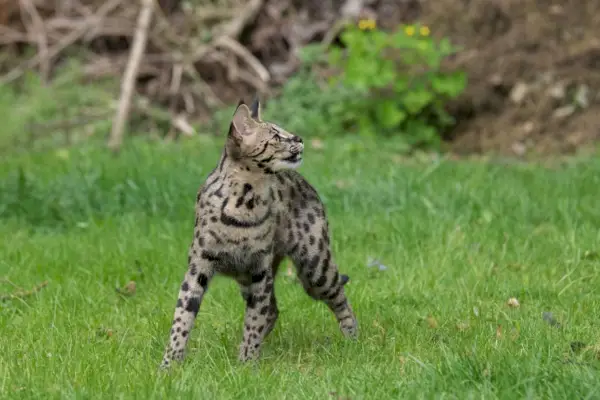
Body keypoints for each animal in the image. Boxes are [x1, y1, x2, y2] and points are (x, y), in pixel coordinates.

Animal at [158, 97, 356, 368]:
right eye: (275, 136)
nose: (299, 138)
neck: (246, 199)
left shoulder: (260, 270)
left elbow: (254, 319)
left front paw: (247, 363)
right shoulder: (199, 266)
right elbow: (182, 317)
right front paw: (169, 365)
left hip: (315, 268)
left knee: (339, 297)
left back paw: (353, 339)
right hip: (249, 279)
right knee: (273, 310)